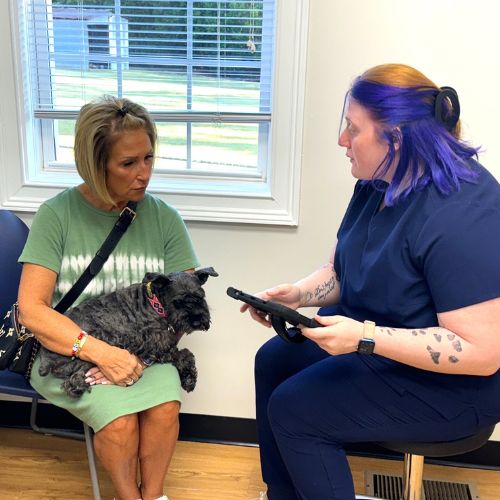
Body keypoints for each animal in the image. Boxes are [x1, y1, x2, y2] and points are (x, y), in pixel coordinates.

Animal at [38, 268, 218, 400]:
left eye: (200, 297)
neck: (155, 303)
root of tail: (44, 357)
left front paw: (188, 377)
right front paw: (188, 375)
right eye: (177, 301)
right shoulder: (151, 342)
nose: (197, 322)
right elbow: (181, 353)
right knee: (72, 381)